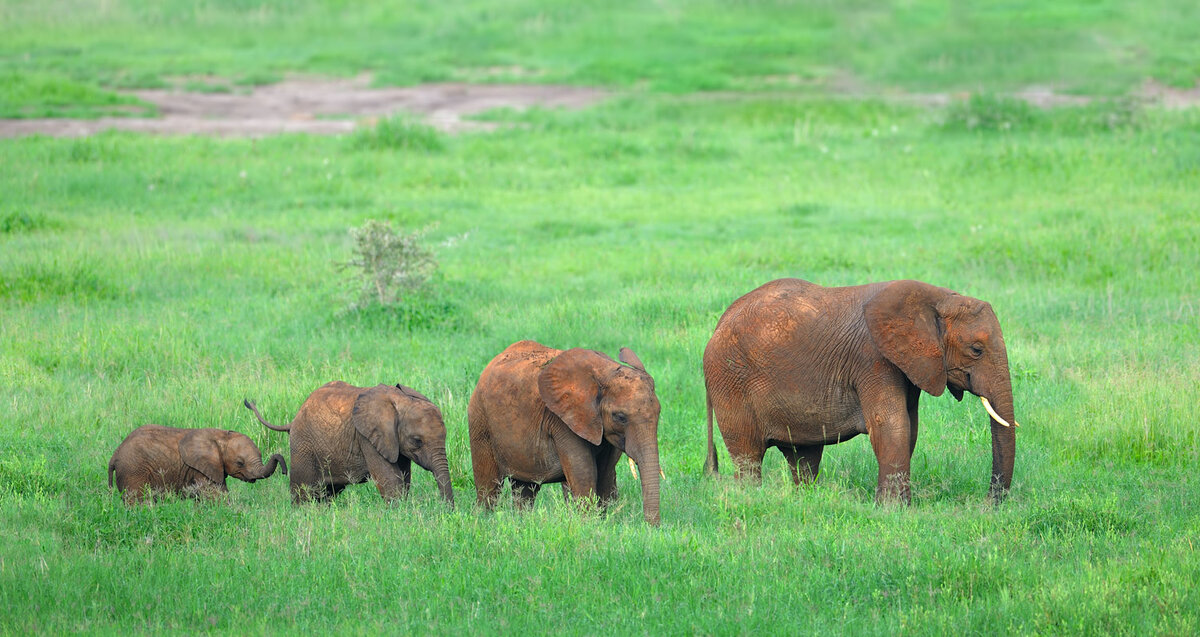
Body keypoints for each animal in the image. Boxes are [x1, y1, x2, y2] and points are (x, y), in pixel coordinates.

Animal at [107, 424, 285, 503]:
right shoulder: (201, 468)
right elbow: (216, 495)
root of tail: (115, 454)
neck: (220, 436)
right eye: (240, 462)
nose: (285, 471)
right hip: (133, 470)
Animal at [243, 381, 453, 506]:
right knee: (303, 491)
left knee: (327, 492)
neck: (400, 400)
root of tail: (293, 419)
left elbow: (403, 477)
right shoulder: (367, 438)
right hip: (302, 445)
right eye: (417, 441)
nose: (447, 511)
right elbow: (390, 481)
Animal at [465, 340, 662, 525]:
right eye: (620, 417)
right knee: (489, 487)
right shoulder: (563, 420)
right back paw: (483, 520)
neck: (606, 370)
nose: (650, 528)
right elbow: (583, 472)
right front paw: (588, 525)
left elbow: (605, 473)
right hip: (480, 421)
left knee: (524, 489)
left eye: (659, 412)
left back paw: (522, 522)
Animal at [700, 279, 1022, 503]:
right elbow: (892, 427)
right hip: (730, 379)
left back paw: (805, 500)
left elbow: (910, 429)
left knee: (804, 458)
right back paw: (751, 499)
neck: (937, 299)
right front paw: (894, 511)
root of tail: (716, 327)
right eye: (976, 350)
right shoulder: (873, 360)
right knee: (748, 455)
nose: (989, 504)